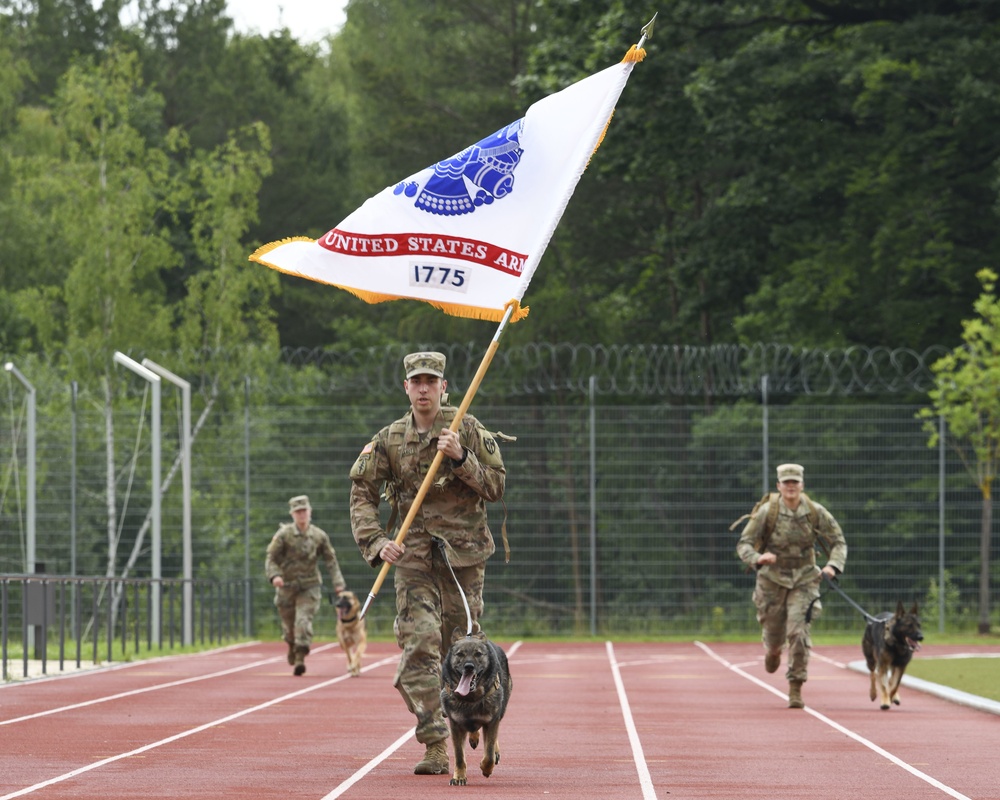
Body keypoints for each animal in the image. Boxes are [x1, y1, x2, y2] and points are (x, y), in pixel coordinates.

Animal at [440, 628, 512, 784]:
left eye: (478, 654)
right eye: (460, 654)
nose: (469, 667)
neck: (470, 698)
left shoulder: (491, 721)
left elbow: (489, 754)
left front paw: (486, 768)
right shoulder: (455, 725)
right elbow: (459, 756)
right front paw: (459, 777)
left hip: (501, 711)